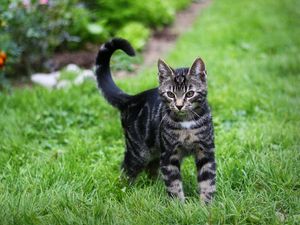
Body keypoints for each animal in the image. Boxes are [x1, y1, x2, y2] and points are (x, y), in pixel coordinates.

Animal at [95, 38, 216, 202]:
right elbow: (174, 185)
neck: (187, 123)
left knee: (151, 169)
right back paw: (123, 191)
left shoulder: (206, 151)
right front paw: (179, 206)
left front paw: (207, 205)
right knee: (126, 170)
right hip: (139, 152)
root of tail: (131, 99)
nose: (179, 106)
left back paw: (154, 186)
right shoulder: (169, 155)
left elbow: (208, 182)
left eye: (190, 93)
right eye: (170, 94)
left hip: (154, 149)